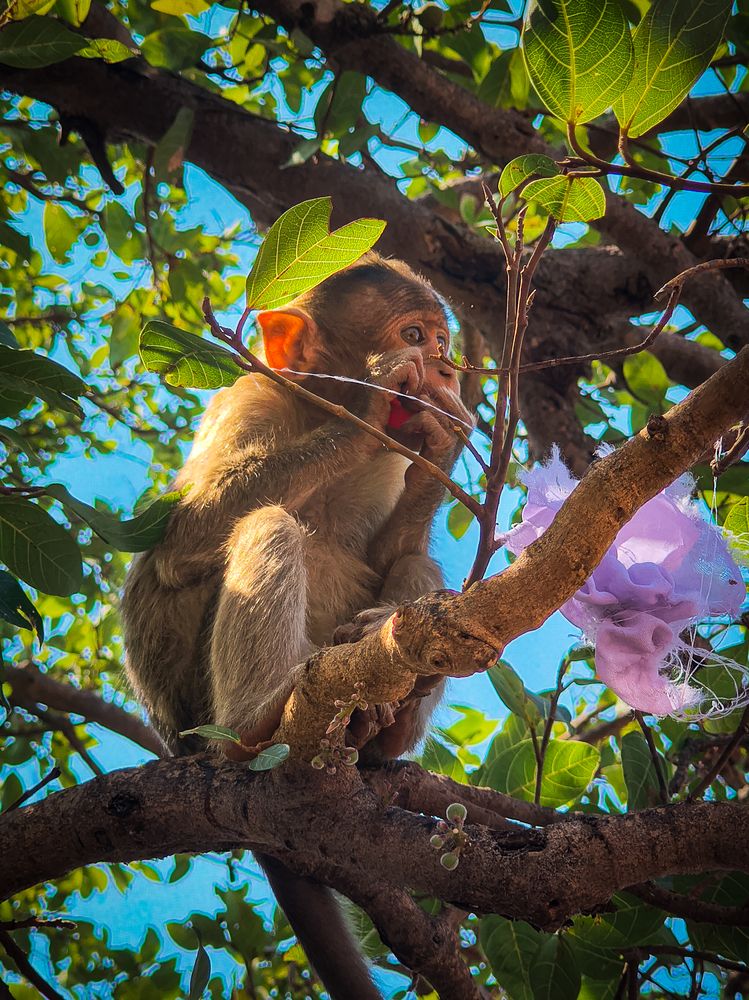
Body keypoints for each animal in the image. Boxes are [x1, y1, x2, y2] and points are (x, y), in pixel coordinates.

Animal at [121, 252, 472, 999]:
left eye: (442, 343)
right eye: (414, 336)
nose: (445, 370)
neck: (309, 406)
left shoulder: (394, 454)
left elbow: (394, 553)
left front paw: (445, 442)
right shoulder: (248, 399)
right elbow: (180, 541)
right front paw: (366, 401)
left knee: (419, 566)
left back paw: (383, 724)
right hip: (195, 715)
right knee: (267, 523)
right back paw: (257, 720)